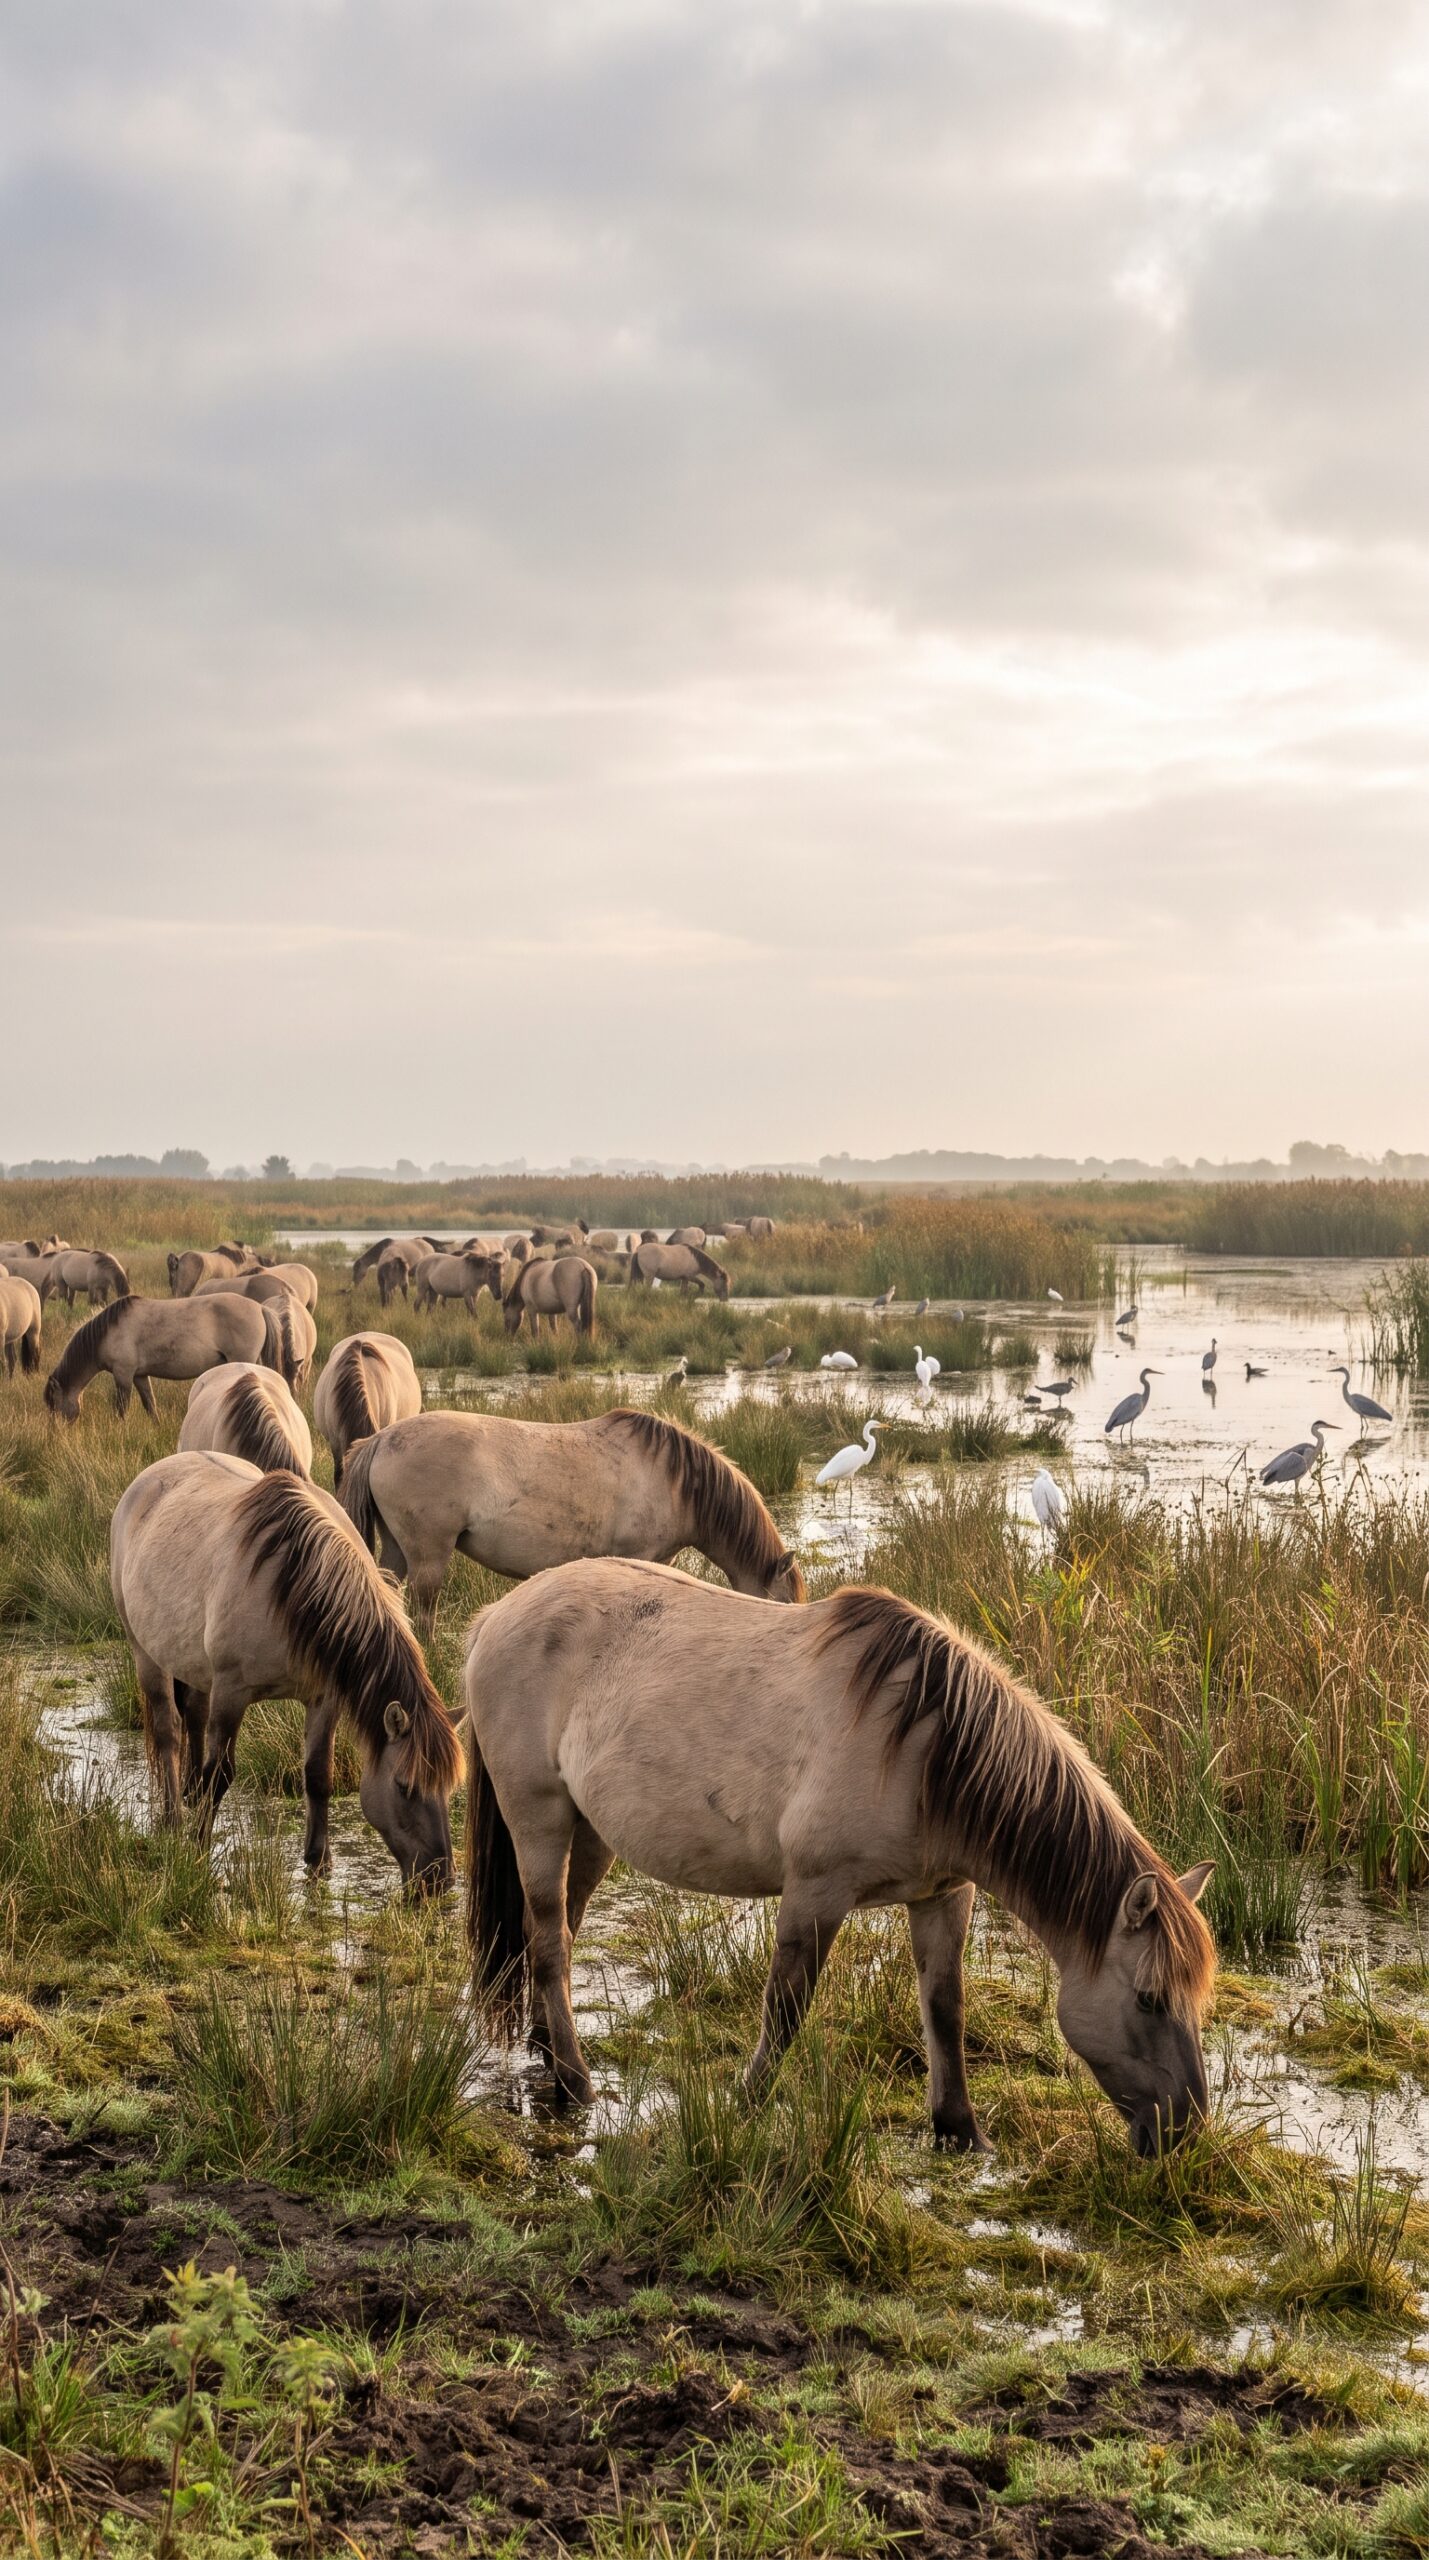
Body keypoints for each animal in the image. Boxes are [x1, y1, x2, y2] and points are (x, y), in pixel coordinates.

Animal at [44, 1293, 286, 1420]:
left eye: (55, 1405)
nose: (56, 1435)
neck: (109, 1331)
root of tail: (259, 1308)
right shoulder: (139, 1376)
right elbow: (150, 1404)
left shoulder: (123, 1374)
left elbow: (122, 1407)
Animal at [110, 1454, 462, 1885]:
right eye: (404, 1787)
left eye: (449, 1789)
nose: (440, 1877)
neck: (294, 1588)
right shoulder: (231, 1692)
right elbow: (221, 1773)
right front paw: (198, 1846)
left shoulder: (324, 1698)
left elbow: (318, 1774)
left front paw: (318, 1859)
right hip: (146, 1654)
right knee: (168, 1732)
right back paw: (175, 1817)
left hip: (192, 1663)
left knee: (193, 1713)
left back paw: (191, 1795)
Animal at [340, 1406, 805, 1633]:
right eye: (784, 1603)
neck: (675, 1481)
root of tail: (381, 1439)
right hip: (428, 1556)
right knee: (424, 1614)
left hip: (398, 1550)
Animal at [464, 1561, 1215, 2150]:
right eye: (1149, 1999)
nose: (1185, 2130)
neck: (921, 1751)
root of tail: (497, 1614)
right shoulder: (815, 1892)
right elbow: (786, 2009)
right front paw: (747, 2107)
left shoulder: (944, 1896)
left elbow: (945, 2008)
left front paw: (960, 2131)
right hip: (539, 1818)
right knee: (550, 1940)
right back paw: (575, 2084)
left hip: (590, 1832)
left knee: (555, 1934)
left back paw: (546, 2050)